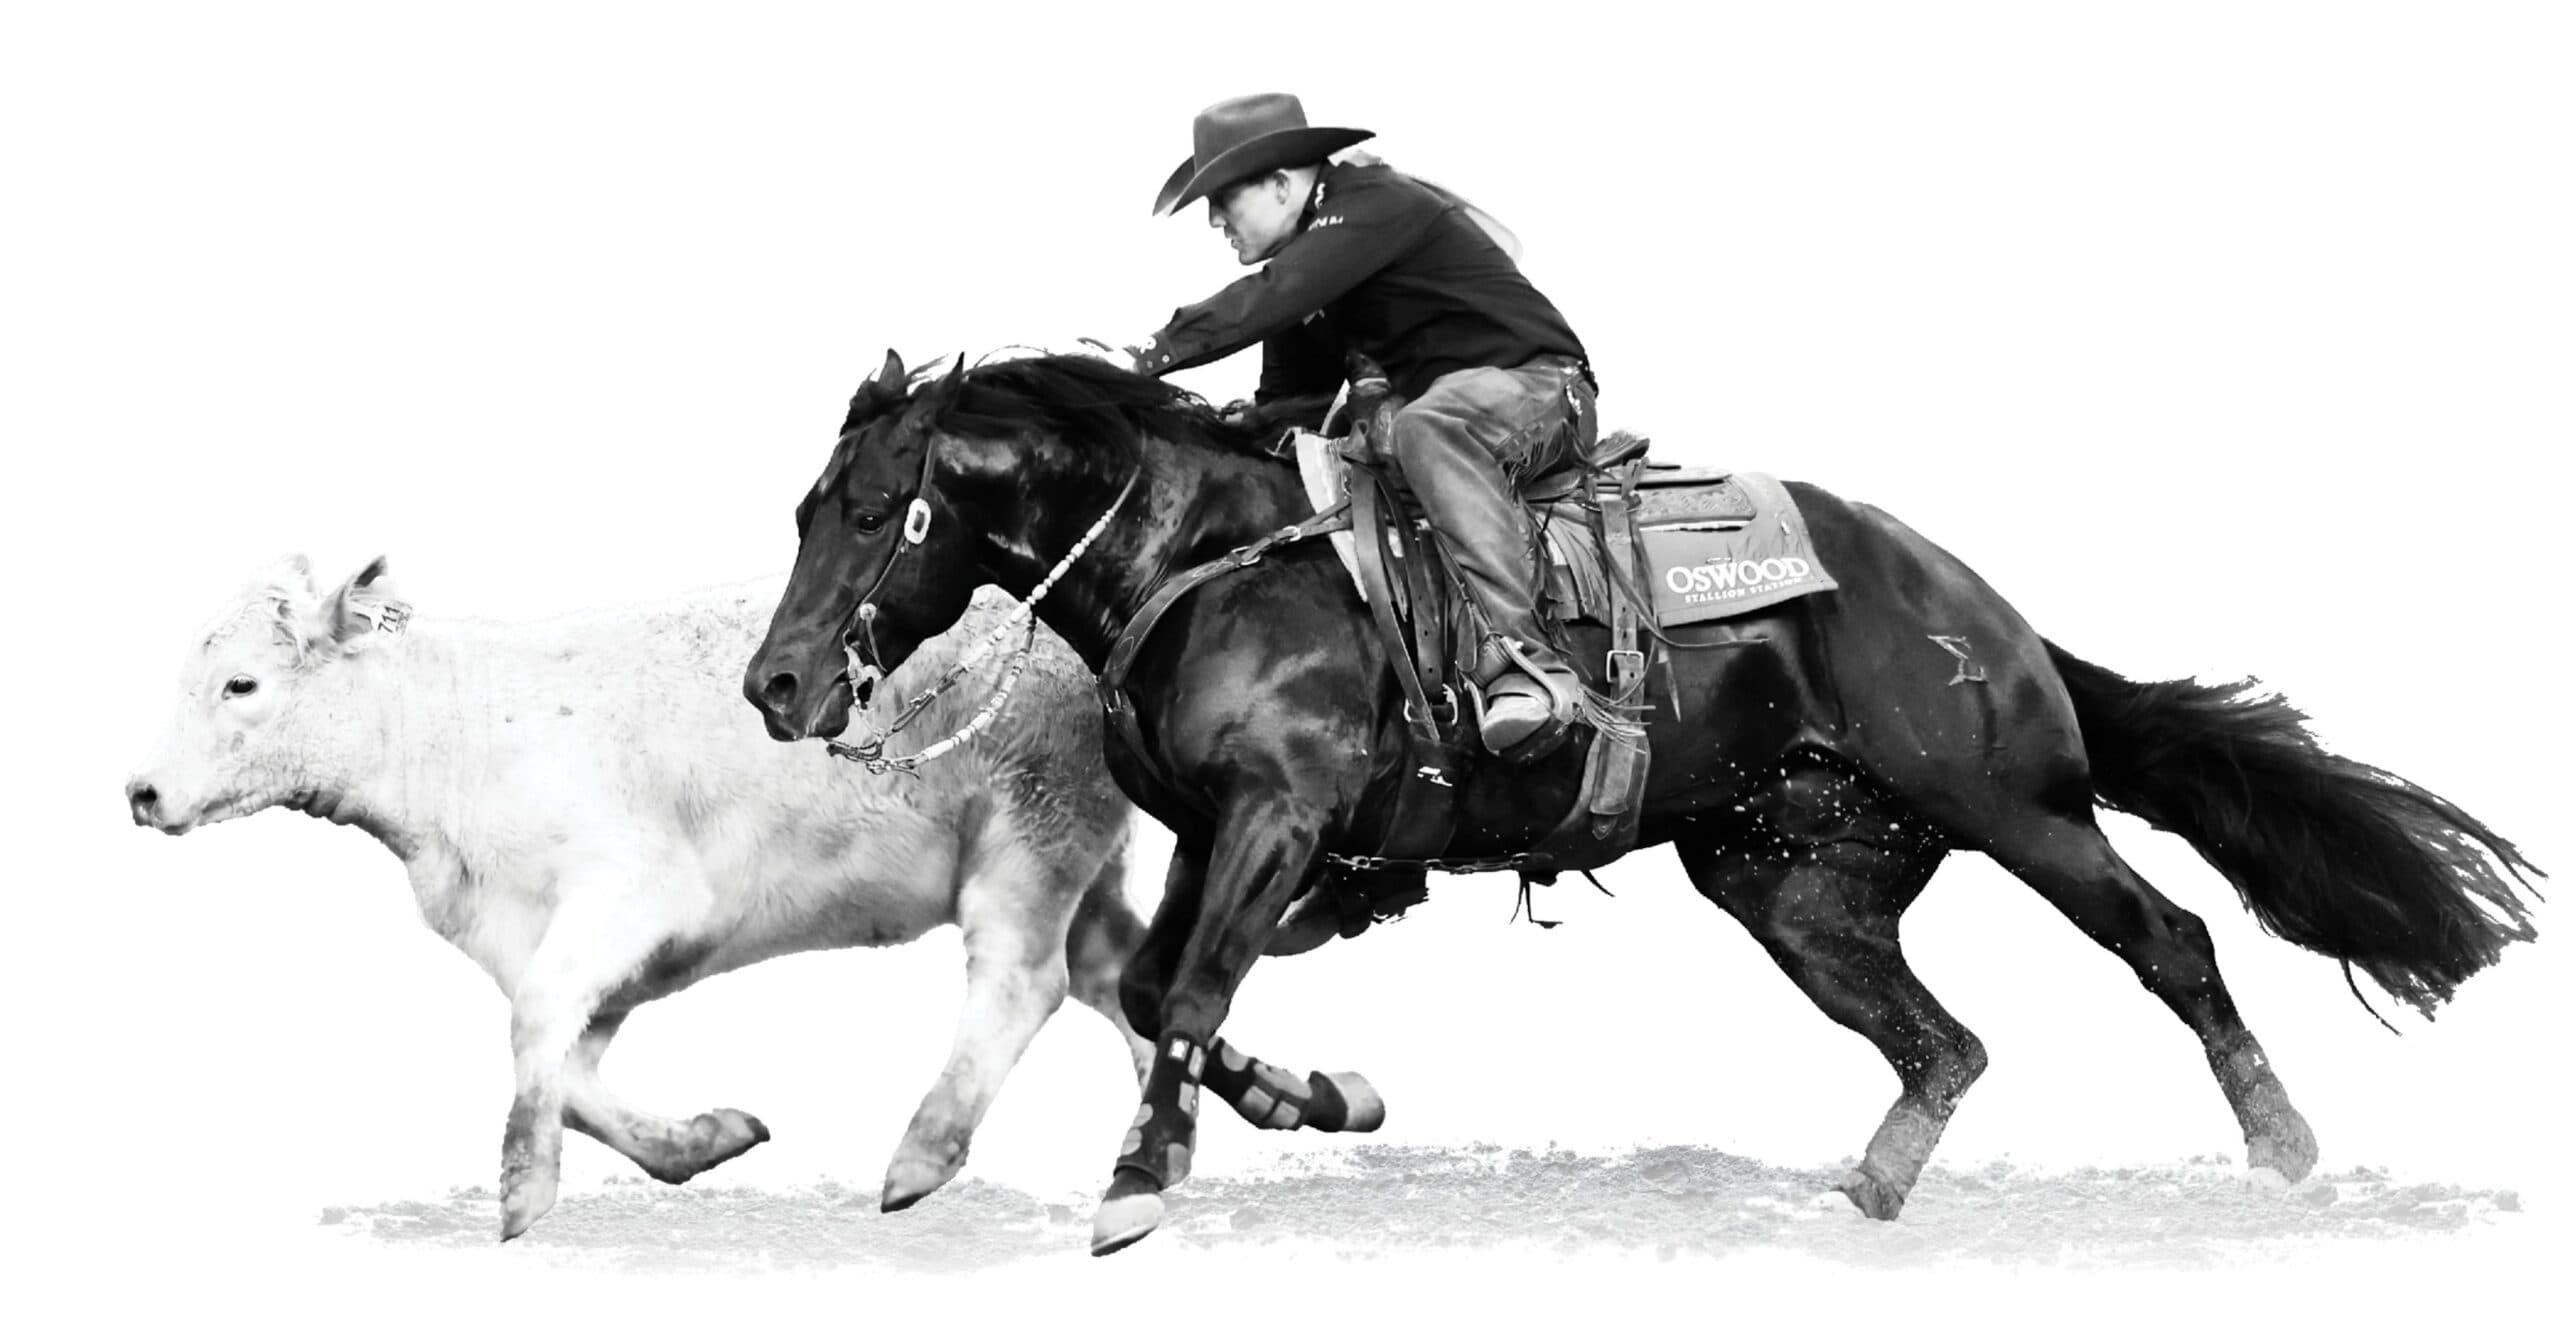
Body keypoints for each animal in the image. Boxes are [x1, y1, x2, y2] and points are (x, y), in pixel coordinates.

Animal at [741, 350, 2539, 1256]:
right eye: (807, 503)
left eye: (874, 508)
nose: (776, 685)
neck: (1222, 557)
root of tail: (1975, 600)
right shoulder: (1214, 830)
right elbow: (1151, 986)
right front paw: (1316, 1098)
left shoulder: (1274, 817)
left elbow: (1180, 991)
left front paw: (1136, 1184)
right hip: (1787, 881)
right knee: (1942, 1040)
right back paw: (1871, 1192)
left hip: (2021, 806)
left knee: (2170, 939)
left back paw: (2283, 1144)